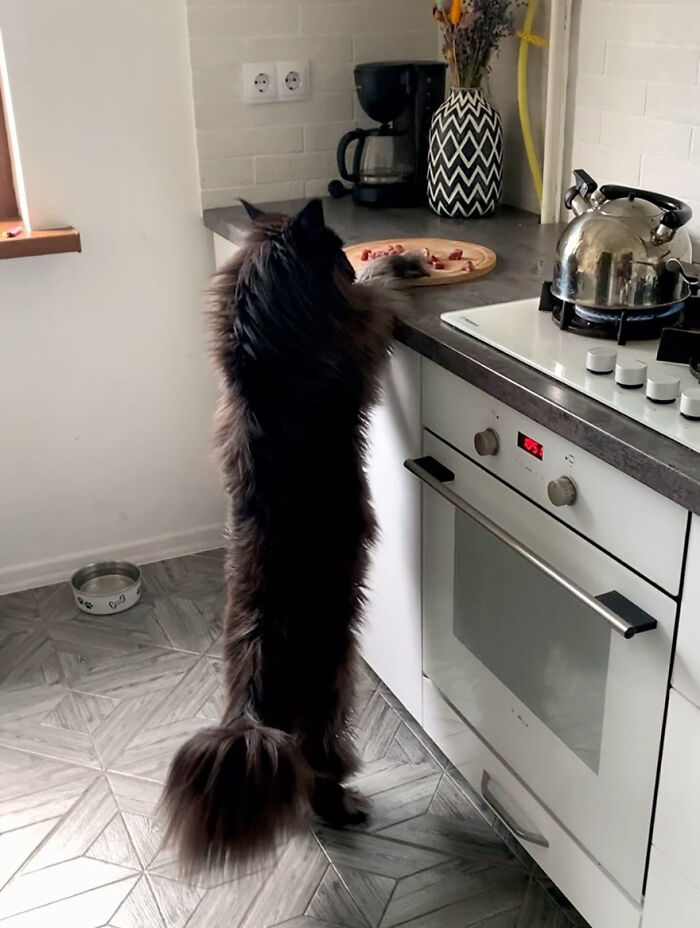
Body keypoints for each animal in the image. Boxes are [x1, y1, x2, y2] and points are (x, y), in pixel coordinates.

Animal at [163, 199, 426, 872]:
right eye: (335, 248)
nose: (346, 258)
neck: (260, 351)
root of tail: (253, 705)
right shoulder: (360, 329)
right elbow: (378, 290)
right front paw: (400, 260)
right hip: (334, 689)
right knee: (319, 764)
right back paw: (345, 808)